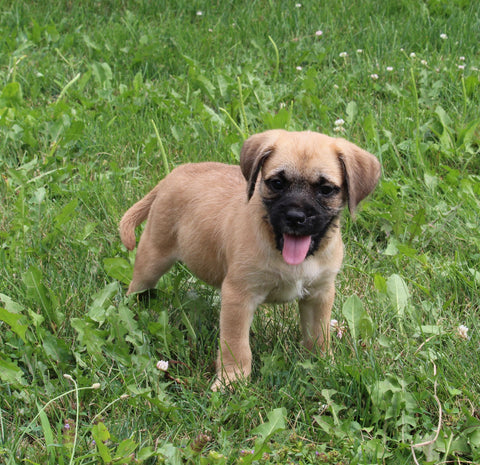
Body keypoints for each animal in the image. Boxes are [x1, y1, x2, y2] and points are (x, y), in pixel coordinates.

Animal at [121, 130, 382, 388]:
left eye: (326, 189)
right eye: (277, 183)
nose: (295, 217)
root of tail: (172, 176)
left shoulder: (319, 295)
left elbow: (318, 335)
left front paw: (321, 364)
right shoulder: (239, 296)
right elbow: (236, 345)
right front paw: (232, 380)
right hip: (153, 256)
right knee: (135, 288)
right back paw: (133, 311)